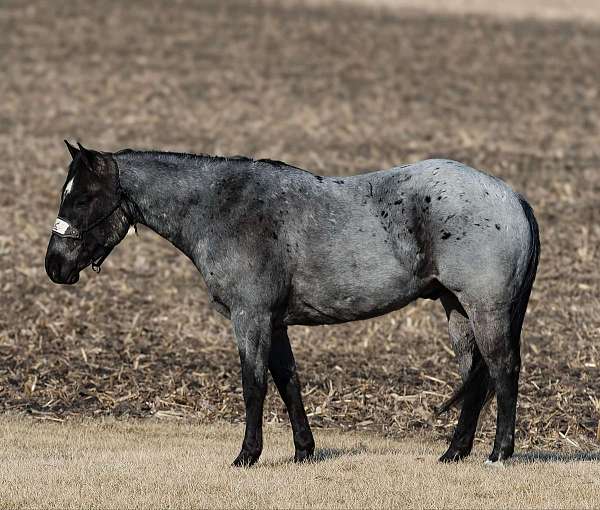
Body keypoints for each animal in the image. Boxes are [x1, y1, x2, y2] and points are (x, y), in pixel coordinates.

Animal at [45, 141, 540, 468]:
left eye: (83, 196)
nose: (55, 265)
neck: (225, 207)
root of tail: (512, 197)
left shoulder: (251, 317)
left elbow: (254, 385)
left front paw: (247, 455)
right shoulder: (276, 322)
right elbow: (288, 382)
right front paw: (304, 451)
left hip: (485, 310)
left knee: (502, 370)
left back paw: (499, 453)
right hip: (457, 310)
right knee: (476, 376)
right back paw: (455, 452)